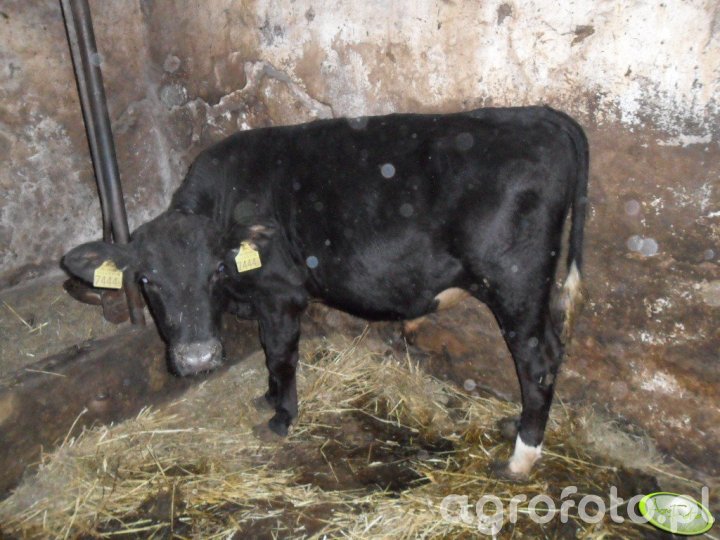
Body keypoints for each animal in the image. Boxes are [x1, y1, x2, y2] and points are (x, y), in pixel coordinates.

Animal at [62, 106, 588, 480]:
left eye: (215, 271)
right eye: (146, 280)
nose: (196, 359)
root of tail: (537, 114)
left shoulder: (280, 295)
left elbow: (279, 355)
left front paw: (281, 417)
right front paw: (267, 399)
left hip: (515, 283)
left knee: (536, 361)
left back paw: (519, 460)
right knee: (553, 350)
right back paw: (514, 427)